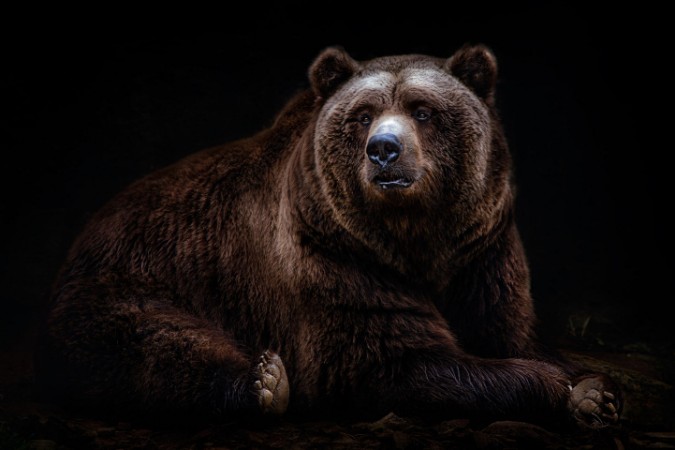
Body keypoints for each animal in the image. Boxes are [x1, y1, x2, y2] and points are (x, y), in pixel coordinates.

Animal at [35, 44, 621, 429]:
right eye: (363, 115)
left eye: (424, 110)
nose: (384, 150)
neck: (414, 237)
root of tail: (86, 233)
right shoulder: (332, 255)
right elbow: (394, 362)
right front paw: (568, 389)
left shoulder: (483, 249)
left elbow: (506, 329)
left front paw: (593, 390)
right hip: (125, 284)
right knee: (153, 345)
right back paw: (262, 382)